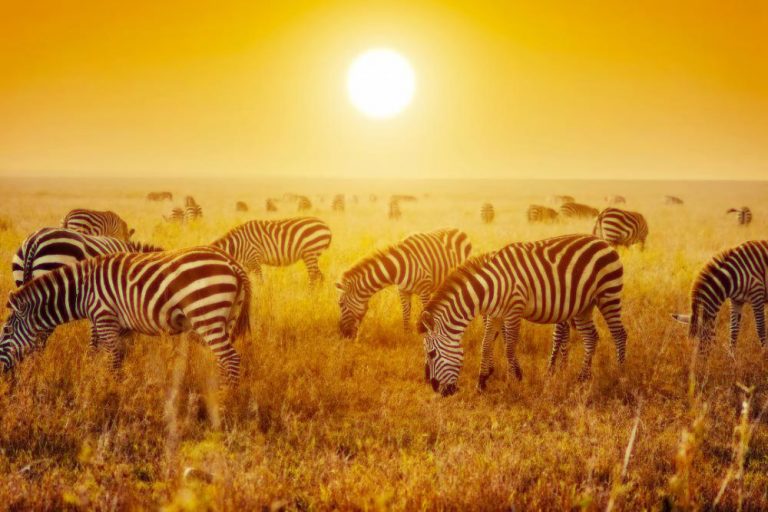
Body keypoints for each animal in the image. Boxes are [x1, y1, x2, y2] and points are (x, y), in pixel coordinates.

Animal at [0, 247, 251, 385]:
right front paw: (108, 384)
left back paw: (227, 398)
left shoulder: (104, 317)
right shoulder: (121, 325)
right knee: (223, 360)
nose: (2, 373)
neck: (83, 290)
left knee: (231, 358)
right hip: (226, 317)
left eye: (6, 331)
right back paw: (218, 393)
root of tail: (231, 262)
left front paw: (111, 393)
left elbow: (111, 358)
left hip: (206, 313)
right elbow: (112, 355)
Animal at [336, 228, 472, 339]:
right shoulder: (403, 291)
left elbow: (425, 313)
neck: (398, 268)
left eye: (340, 304)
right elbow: (406, 314)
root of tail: (459, 230)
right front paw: (406, 335)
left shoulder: (424, 290)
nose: (342, 334)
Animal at [418, 234, 628, 396]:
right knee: (591, 337)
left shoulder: (514, 310)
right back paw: (582, 378)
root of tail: (602, 241)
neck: (491, 287)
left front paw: (514, 381)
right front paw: (481, 383)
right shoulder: (495, 314)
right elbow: (485, 345)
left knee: (619, 334)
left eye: (432, 353)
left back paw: (619, 374)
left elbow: (509, 347)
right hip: (583, 305)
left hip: (608, 294)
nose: (438, 390)